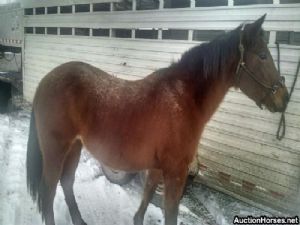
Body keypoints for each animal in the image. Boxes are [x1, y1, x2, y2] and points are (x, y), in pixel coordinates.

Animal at [27, 14, 288, 225]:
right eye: (263, 56)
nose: (284, 98)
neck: (182, 98)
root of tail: (45, 81)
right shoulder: (176, 172)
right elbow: (170, 212)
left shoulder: (156, 168)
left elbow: (146, 197)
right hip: (55, 150)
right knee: (48, 192)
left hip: (74, 147)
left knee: (66, 182)